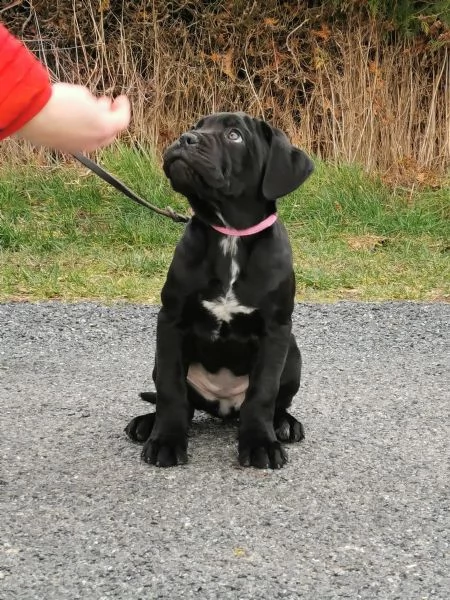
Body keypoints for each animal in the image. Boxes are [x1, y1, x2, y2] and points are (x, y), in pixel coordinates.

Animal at [125, 112, 312, 468]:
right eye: (197, 126)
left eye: (234, 135)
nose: (186, 138)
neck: (230, 235)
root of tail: (223, 408)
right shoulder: (171, 322)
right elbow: (171, 391)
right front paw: (166, 440)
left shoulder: (276, 330)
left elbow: (262, 393)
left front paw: (261, 443)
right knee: (182, 401)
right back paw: (146, 423)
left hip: (293, 353)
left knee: (277, 402)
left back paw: (284, 424)